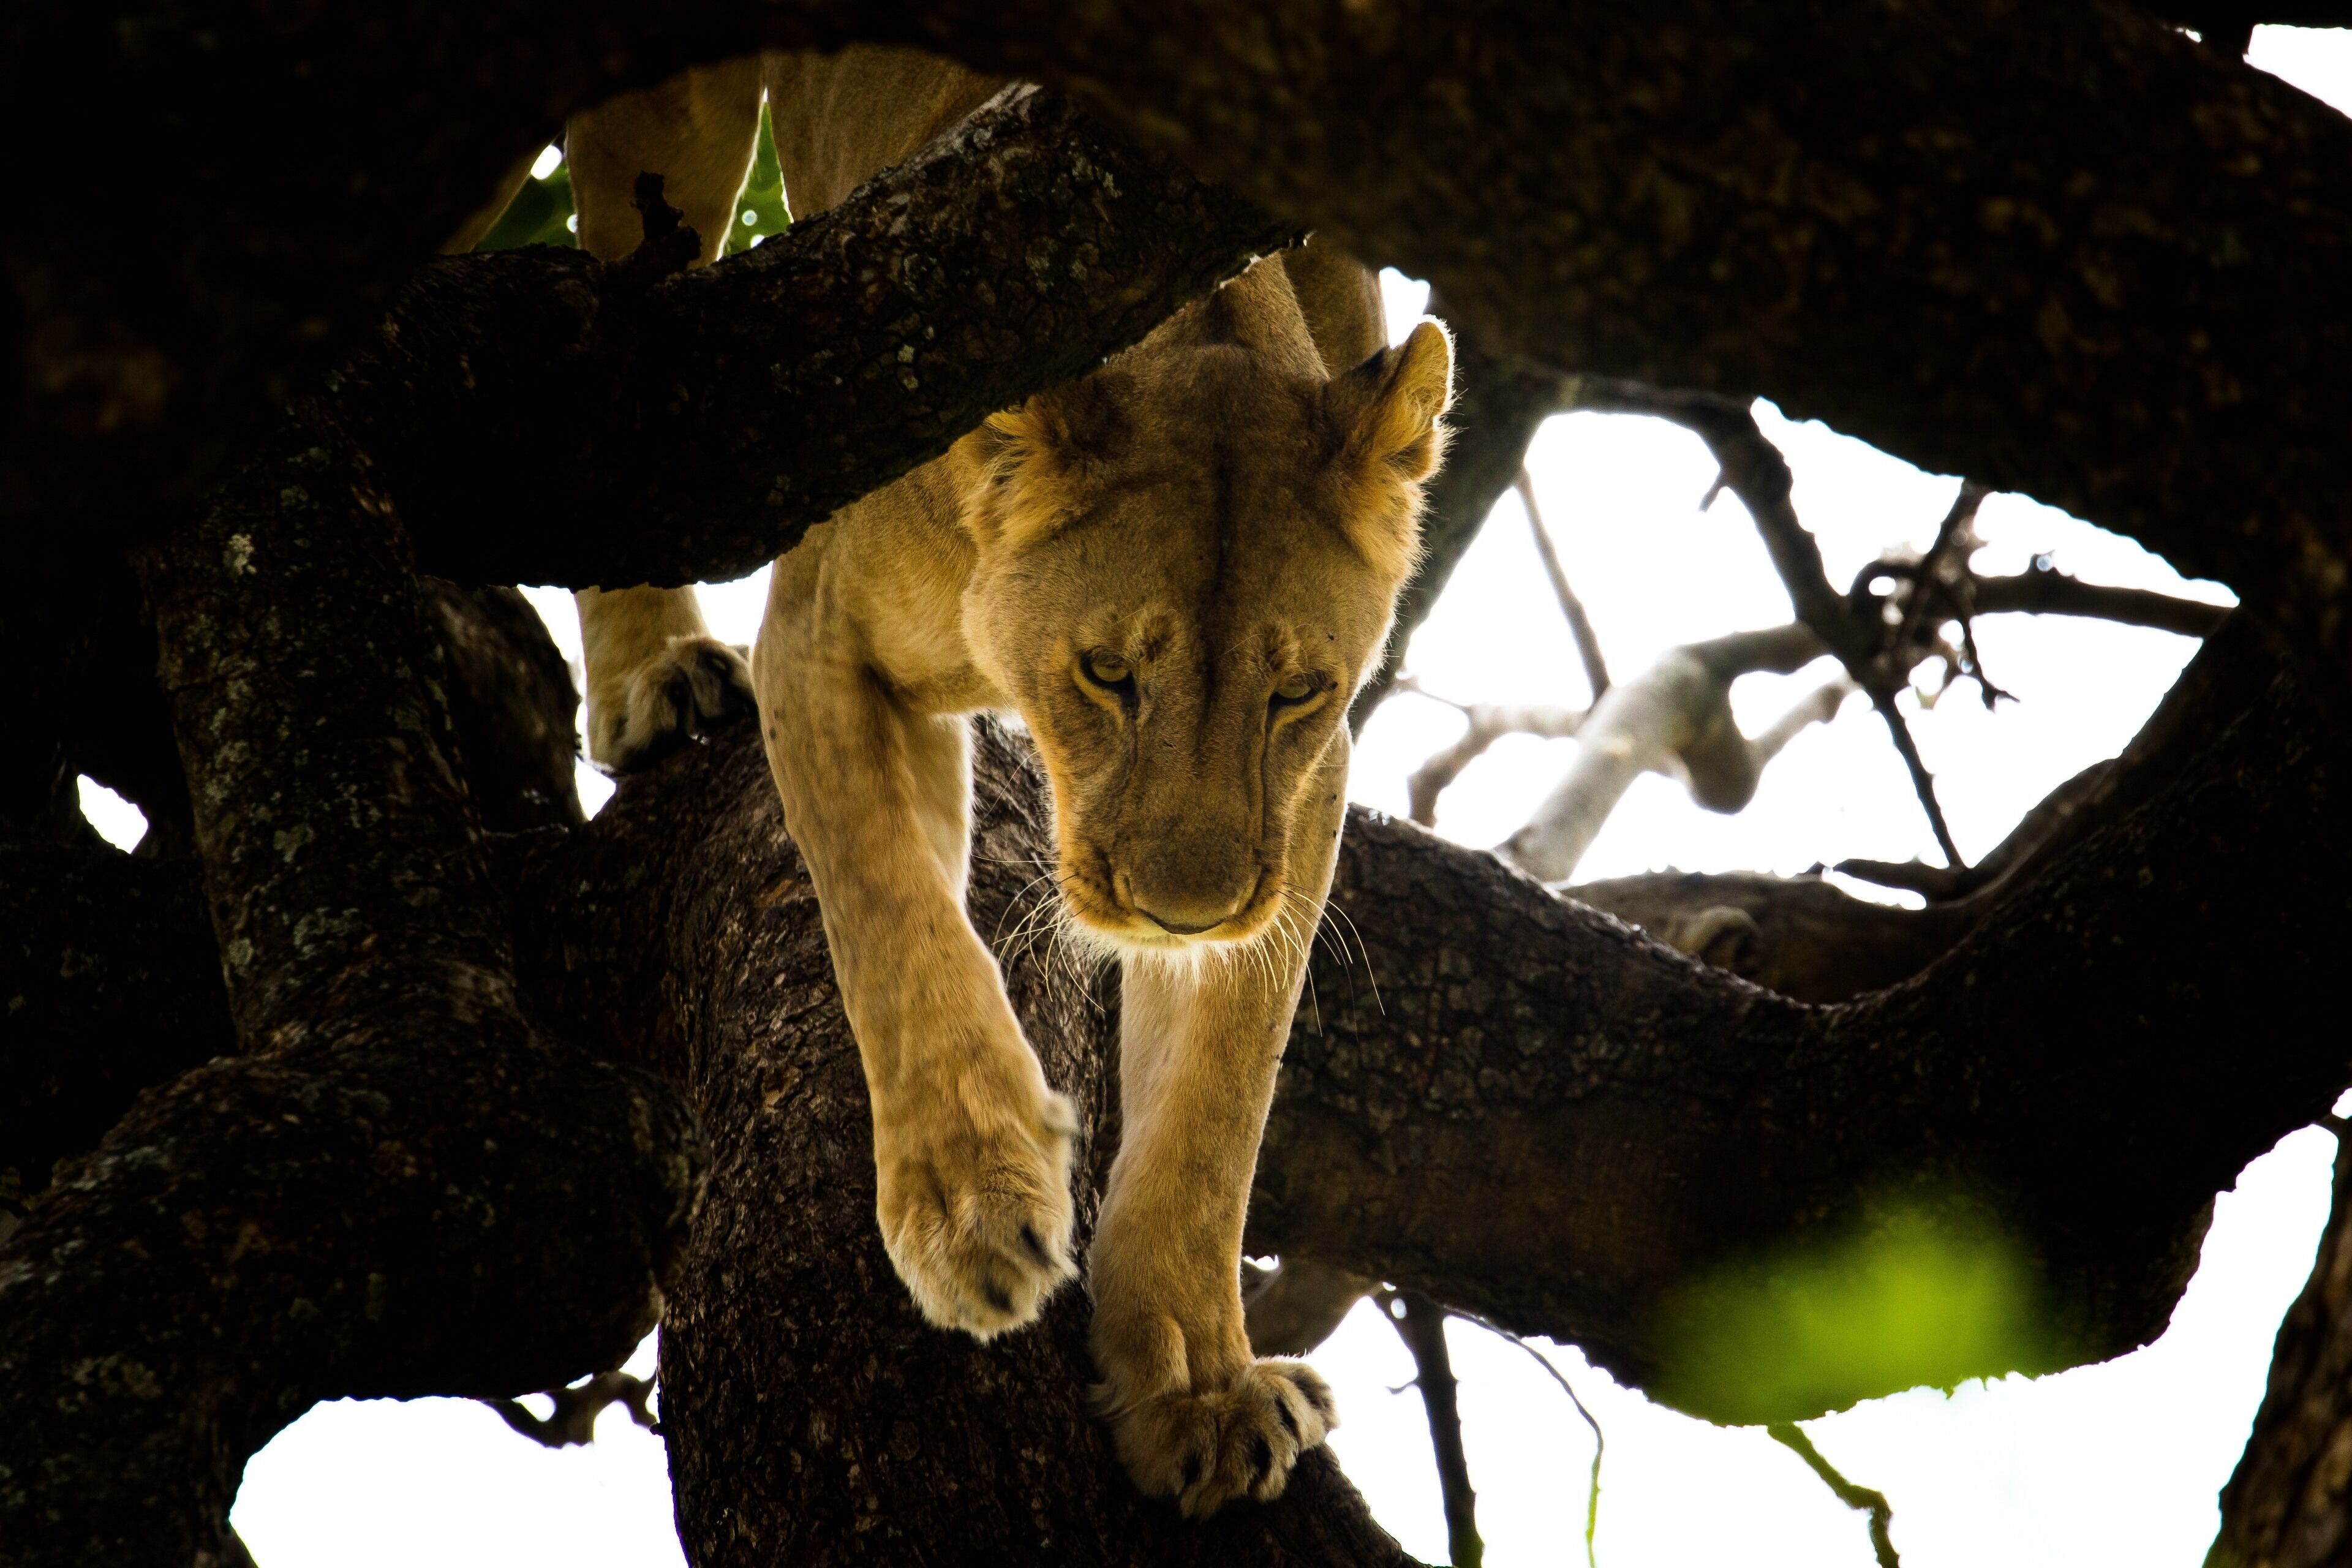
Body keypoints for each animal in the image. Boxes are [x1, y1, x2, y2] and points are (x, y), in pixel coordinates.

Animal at [457, 48, 1452, 1515]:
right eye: (1108, 673)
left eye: (1296, 693)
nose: (1181, 914)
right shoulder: (820, 636)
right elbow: (895, 921)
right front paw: (970, 1204)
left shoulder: (1300, 799)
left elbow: (1218, 1103)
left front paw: (1199, 1387)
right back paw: (661, 681)